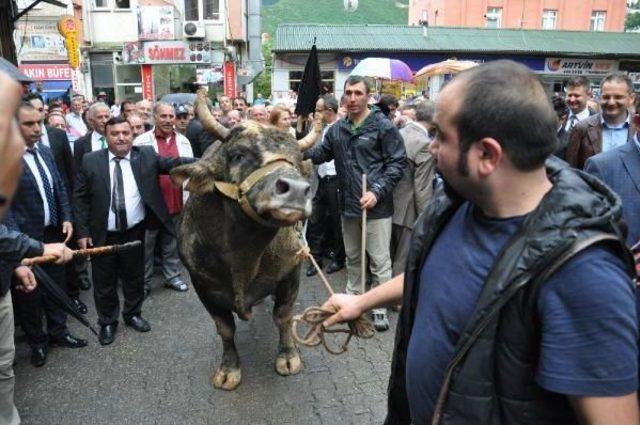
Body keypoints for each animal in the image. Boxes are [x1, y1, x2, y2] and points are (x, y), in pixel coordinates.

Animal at [171, 97, 314, 390]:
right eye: (238, 155)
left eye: (297, 162)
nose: (296, 190)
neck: (244, 257)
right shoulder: (203, 286)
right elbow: (225, 329)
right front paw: (229, 369)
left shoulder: (290, 273)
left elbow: (283, 316)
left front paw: (288, 356)